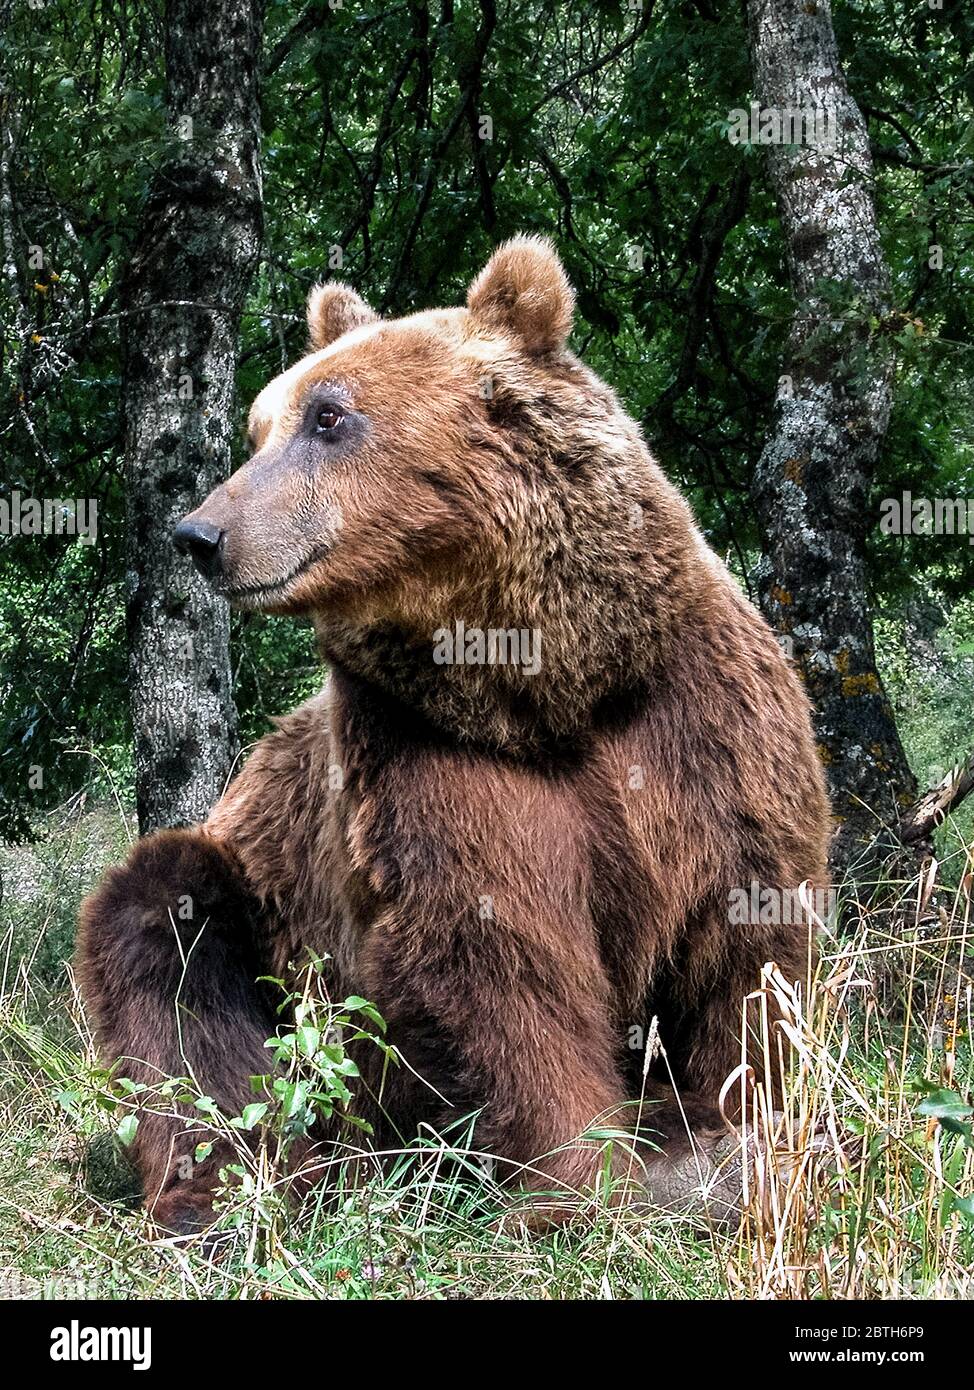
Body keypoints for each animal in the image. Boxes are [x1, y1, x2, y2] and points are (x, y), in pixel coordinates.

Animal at [77, 241, 828, 1239]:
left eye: (327, 416)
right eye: (259, 424)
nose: (201, 533)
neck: (546, 685)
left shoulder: (699, 722)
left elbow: (745, 954)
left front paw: (727, 1139)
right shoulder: (427, 750)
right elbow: (495, 958)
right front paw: (581, 1182)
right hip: (260, 902)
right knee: (168, 948)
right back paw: (229, 1190)